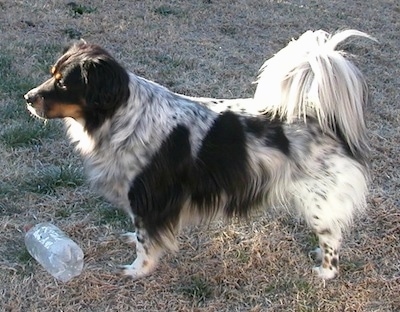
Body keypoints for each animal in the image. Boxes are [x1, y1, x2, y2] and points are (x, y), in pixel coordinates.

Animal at [23, 29, 372, 280]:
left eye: (63, 84)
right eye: (52, 74)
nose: (27, 97)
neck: (124, 115)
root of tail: (321, 117)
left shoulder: (149, 197)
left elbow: (146, 241)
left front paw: (137, 271)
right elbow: (139, 233)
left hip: (318, 203)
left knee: (332, 238)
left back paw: (325, 272)